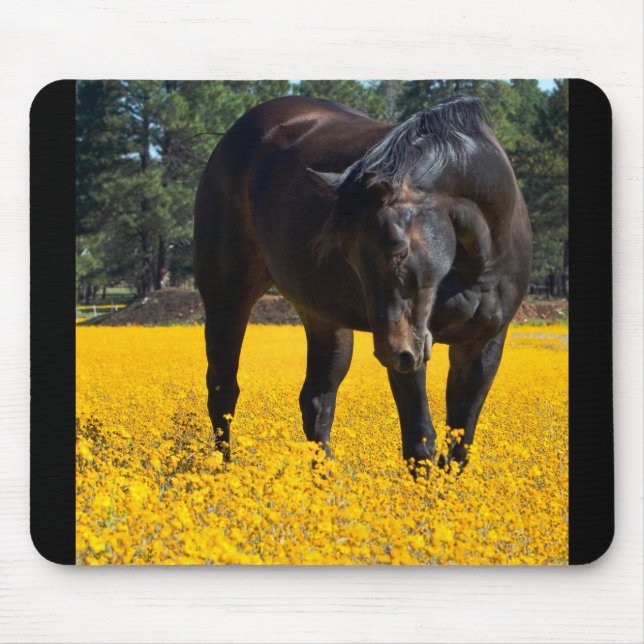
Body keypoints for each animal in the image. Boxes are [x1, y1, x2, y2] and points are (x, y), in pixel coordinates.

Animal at [193, 95, 532, 474]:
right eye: (347, 253)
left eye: (399, 249)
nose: (391, 352)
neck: (476, 261)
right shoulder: (412, 350)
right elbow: (420, 440)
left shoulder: (482, 345)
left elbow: (459, 446)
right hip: (227, 296)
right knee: (223, 390)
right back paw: (222, 471)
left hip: (325, 319)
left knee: (316, 400)